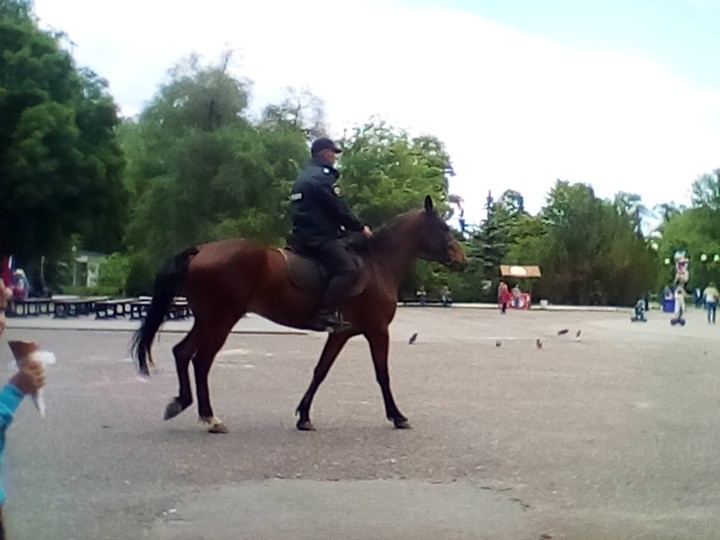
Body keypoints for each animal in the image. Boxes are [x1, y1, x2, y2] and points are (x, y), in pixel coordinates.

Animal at [132, 195, 467, 433]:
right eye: (444, 228)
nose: (462, 259)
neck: (375, 262)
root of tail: (201, 250)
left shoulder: (342, 333)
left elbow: (320, 371)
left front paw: (304, 415)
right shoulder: (377, 331)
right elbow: (382, 374)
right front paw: (397, 416)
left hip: (206, 319)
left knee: (182, 352)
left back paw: (182, 403)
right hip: (220, 320)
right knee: (201, 361)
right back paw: (210, 417)